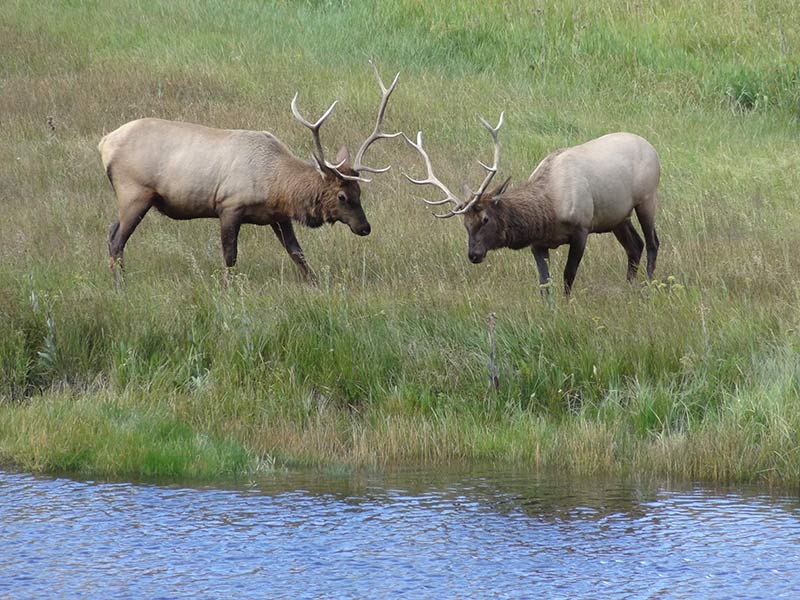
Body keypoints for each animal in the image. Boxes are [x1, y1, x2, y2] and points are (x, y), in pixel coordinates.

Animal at [98, 62, 400, 288]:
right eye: (341, 196)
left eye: (359, 191)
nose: (365, 227)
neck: (276, 185)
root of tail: (105, 143)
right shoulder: (229, 205)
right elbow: (230, 256)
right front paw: (228, 289)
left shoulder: (279, 216)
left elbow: (297, 252)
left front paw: (316, 285)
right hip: (135, 192)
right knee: (117, 239)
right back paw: (120, 286)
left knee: (111, 230)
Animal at [404, 115, 660, 296]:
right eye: (465, 223)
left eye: (485, 218)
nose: (474, 255)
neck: (550, 210)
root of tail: (651, 147)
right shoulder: (538, 243)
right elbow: (544, 284)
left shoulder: (582, 228)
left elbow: (568, 275)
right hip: (617, 216)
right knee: (634, 245)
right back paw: (628, 286)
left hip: (647, 198)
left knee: (652, 242)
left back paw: (648, 286)